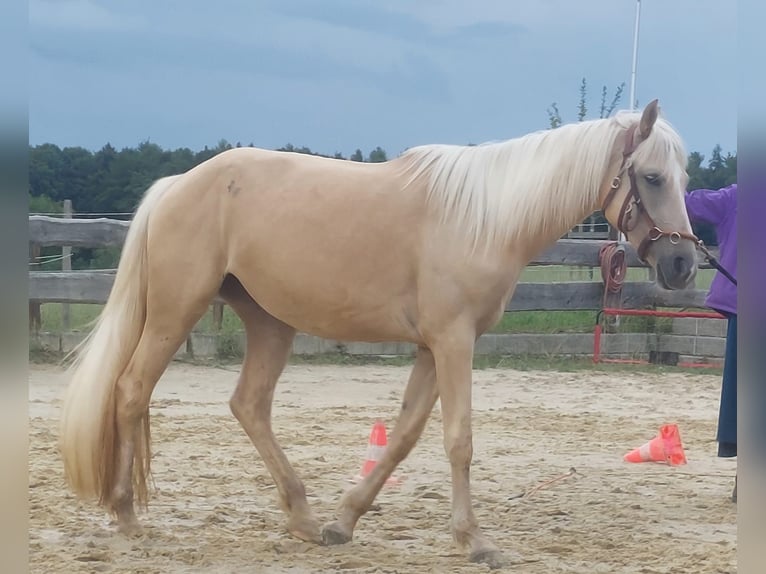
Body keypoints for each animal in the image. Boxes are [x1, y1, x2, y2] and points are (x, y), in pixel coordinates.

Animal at [59, 99, 698, 569]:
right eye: (651, 176)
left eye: (682, 177)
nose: (682, 265)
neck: (486, 218)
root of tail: (178, 185)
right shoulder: (453, 342)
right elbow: (459, 439)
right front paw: (476, 541)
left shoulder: (431, 348)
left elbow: (407, 434)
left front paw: (344, 521)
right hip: (177, 312)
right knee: (131, 391)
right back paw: (127, 516)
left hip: (269, 322)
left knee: (249, 405)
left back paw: (303, 518)